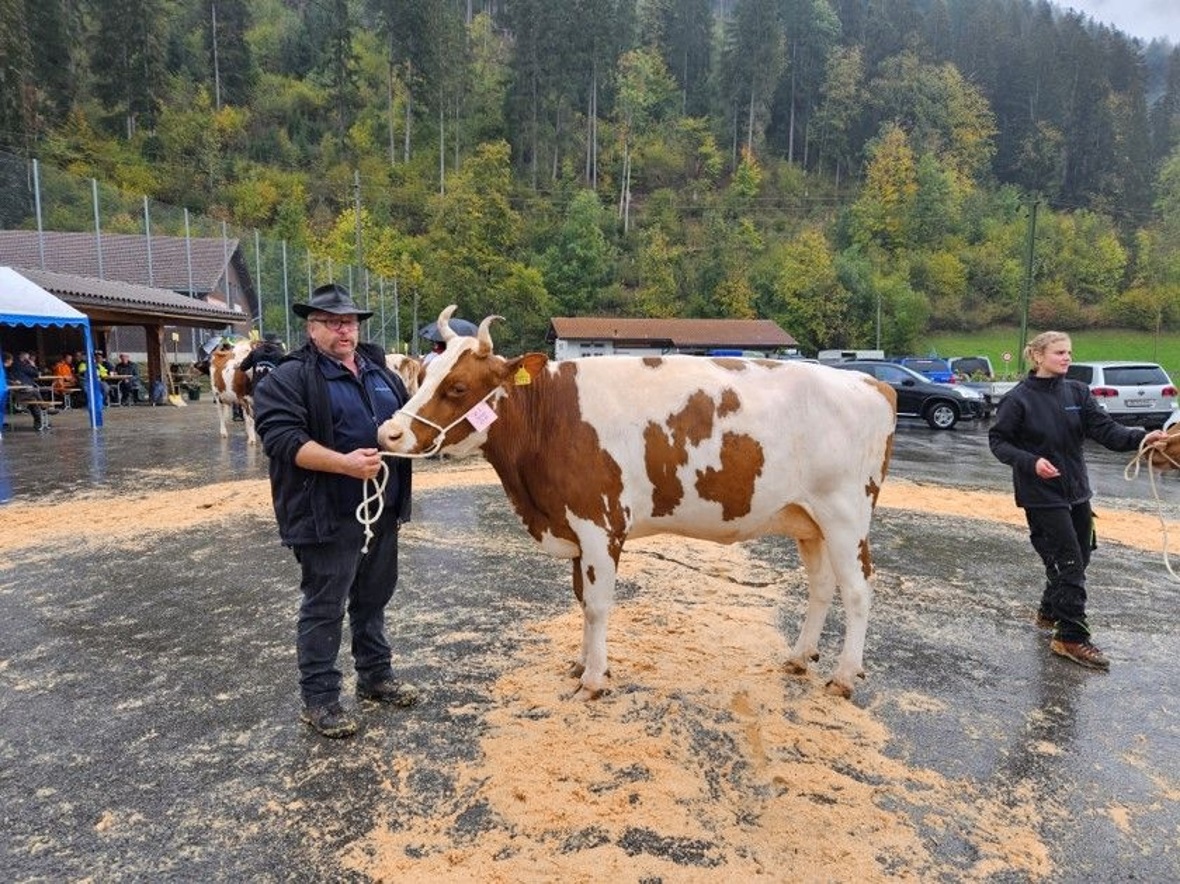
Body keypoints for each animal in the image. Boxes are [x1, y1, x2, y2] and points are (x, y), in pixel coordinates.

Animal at [376, 306, 898, 700]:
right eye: (423, 374)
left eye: (458, 387)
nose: (389, 432)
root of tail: (871, 383)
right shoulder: (575, 525)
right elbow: (581, 599)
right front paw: (583, 665)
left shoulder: (599, 524)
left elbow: (597, 604)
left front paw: (593, 680)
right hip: (808, 521)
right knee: (821, 587)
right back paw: (799, 657)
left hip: (845, 517)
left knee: (857, 589)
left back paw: (844, 677)